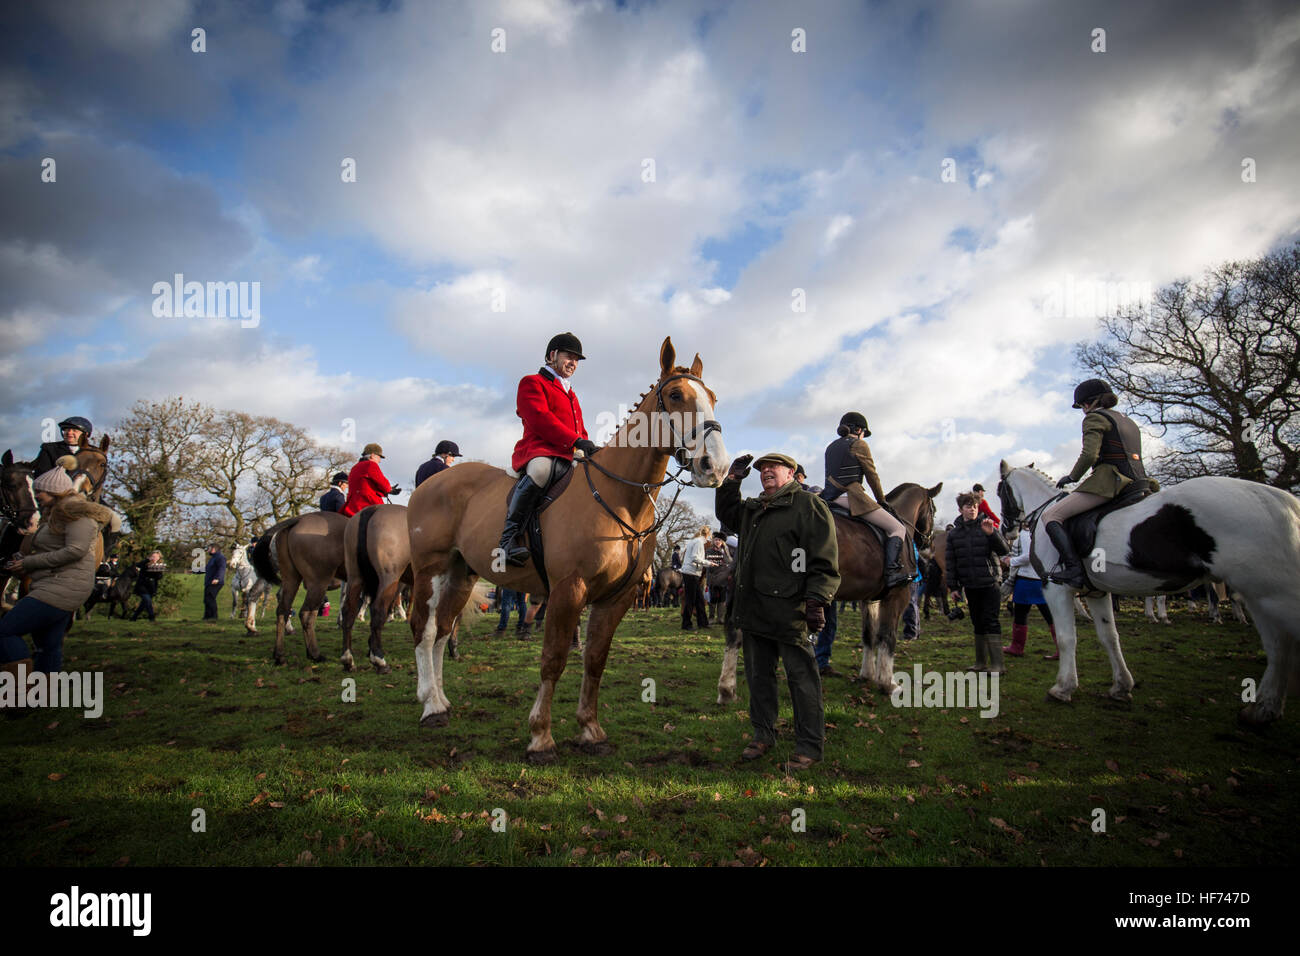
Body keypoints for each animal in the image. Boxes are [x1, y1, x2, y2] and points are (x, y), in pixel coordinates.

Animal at [248, 515, 348, 665]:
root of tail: (299, 519)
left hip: (291, 579)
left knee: (282, 610)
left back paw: (279, 655)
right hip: (318, 583)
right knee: (306, 615)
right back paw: (315, 654)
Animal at [340, 504, 410, 676]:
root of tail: (373, 510)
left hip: (356, 577)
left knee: (348, 612)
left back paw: (348, 659)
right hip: (390, 579)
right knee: (378, 611)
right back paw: (379, 660)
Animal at [405, 335, 733, 764]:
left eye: (713, 397)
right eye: (676, 395)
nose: (717, 467)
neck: (619, 498)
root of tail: (434, 480)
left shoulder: (617, 597)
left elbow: (595, 660)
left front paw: (590, 730)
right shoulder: (567, 591)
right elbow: (553, 660)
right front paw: (540, 737)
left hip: (462, 574)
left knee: (444, 631)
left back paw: (442, 703)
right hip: (431, 570)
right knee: (425, 631)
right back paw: (429, 705)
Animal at [717, 481, 941, 707]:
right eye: (934, 510)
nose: (929, 544)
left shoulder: (868, 600)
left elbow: (869, 634)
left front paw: (867, 674)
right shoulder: (897, 596)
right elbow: (887, 636)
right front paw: (888, 684)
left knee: (734, 631)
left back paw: (727, 689)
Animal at [993, 463, 1300, 723]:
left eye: (1000, 492)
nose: (1006, 530)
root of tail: (1281, 499)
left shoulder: (1056, 588)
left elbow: (1068, 638)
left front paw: (1063, 688)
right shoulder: (1097, 592)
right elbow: (1110, 637)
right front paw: (1121, 686)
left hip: (1269, 592)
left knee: (1278, 643)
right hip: (1261, 592)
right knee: (1279, 646)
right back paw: (1263, 709)